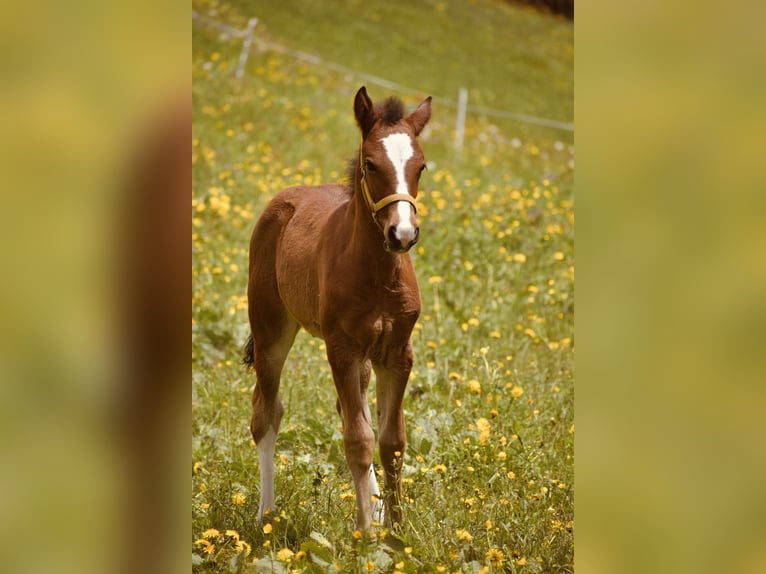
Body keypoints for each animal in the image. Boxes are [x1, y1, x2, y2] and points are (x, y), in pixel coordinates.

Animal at [243, 86, 432, 536]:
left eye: (421, 165)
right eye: (370, 164)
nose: (403, 234)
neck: (377, 273)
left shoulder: (397, 352)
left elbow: (391, 442)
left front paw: (396, 533)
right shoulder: (341, 349)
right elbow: (359, 440)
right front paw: (366, 535)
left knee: (351, 411)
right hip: (271, 330)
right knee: (266, 413)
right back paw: (265, 515)